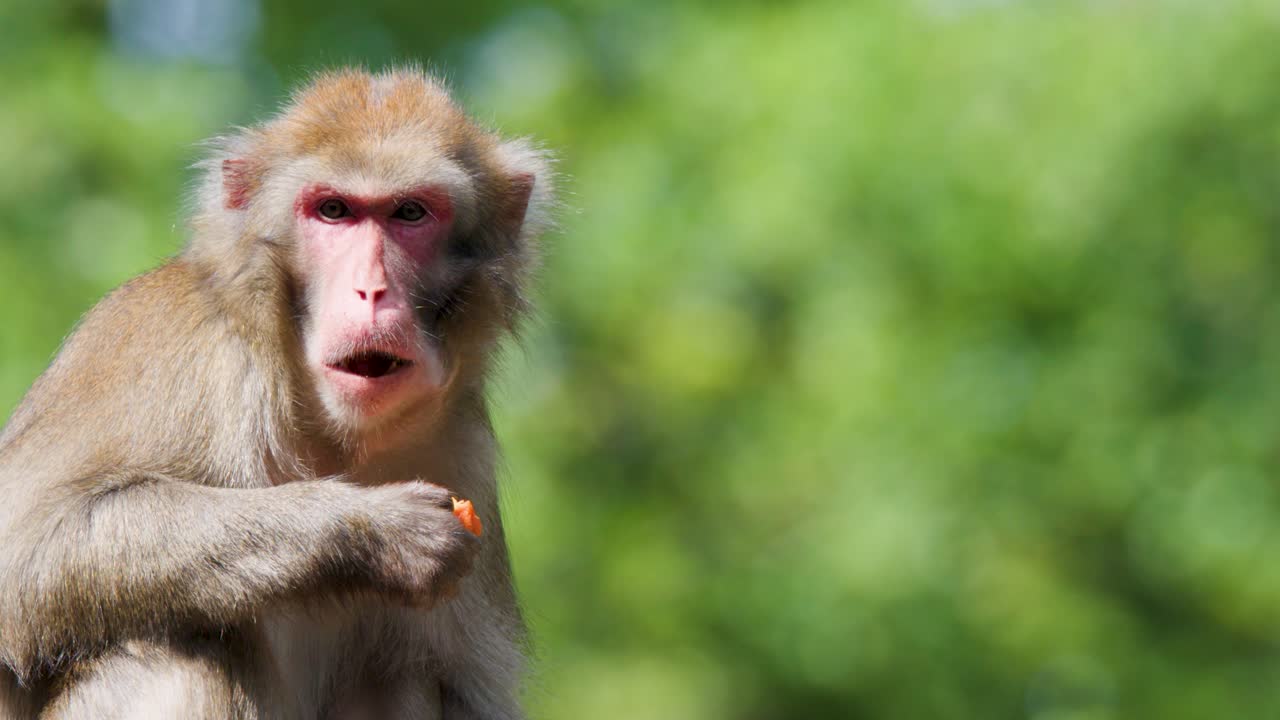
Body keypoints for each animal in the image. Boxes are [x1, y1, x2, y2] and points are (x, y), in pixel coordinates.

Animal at [0, 67, 554, 719]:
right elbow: (22, 552)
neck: (329, 433)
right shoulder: (180, 349)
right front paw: (376, 529)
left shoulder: (461, 450)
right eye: (334, 210)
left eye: (410, 213)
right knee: (173, 651)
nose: (372, 289)